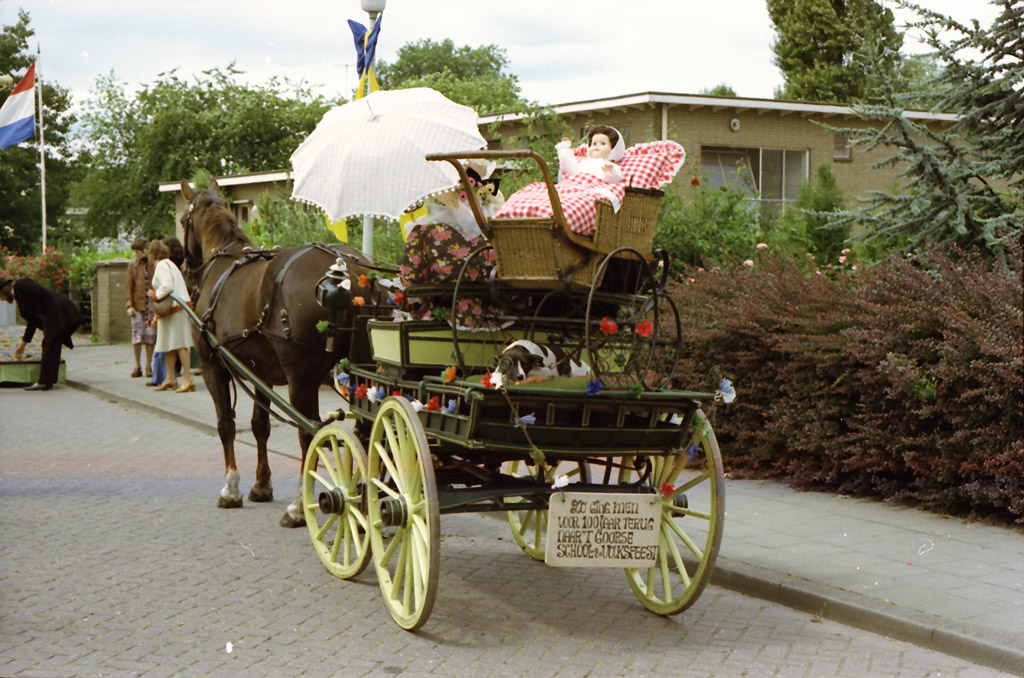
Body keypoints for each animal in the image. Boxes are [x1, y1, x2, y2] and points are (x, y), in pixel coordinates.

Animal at [181, 178, 380, 528]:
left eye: (182, 221)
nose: (184, 268)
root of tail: (353, 272)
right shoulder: (260, 371)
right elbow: (260, 425)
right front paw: (261, 486)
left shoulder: (211, 366)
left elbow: (226, 424)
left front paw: (231, 489)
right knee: (366, 431)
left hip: (303, 380)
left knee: (310, 433)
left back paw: (301, 508)